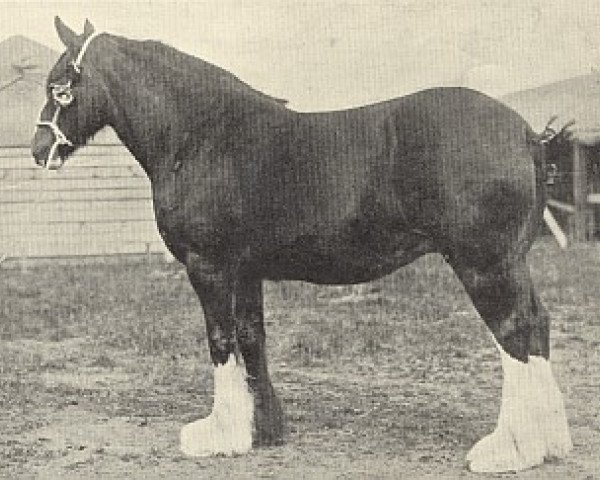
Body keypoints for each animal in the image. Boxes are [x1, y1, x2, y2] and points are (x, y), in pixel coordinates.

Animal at [31, 17, 572, 472]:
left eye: (60, 86)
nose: (39, 151)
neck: (201, 135)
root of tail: (524, 133)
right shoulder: (246, 271)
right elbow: (252, 338)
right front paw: (263, 430)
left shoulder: (208, 267)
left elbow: (220, 340)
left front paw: (219, 436)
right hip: (509, 263)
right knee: (536, 324)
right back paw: (549, 442)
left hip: (485, 264)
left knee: (513, 331)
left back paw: (510, 449)